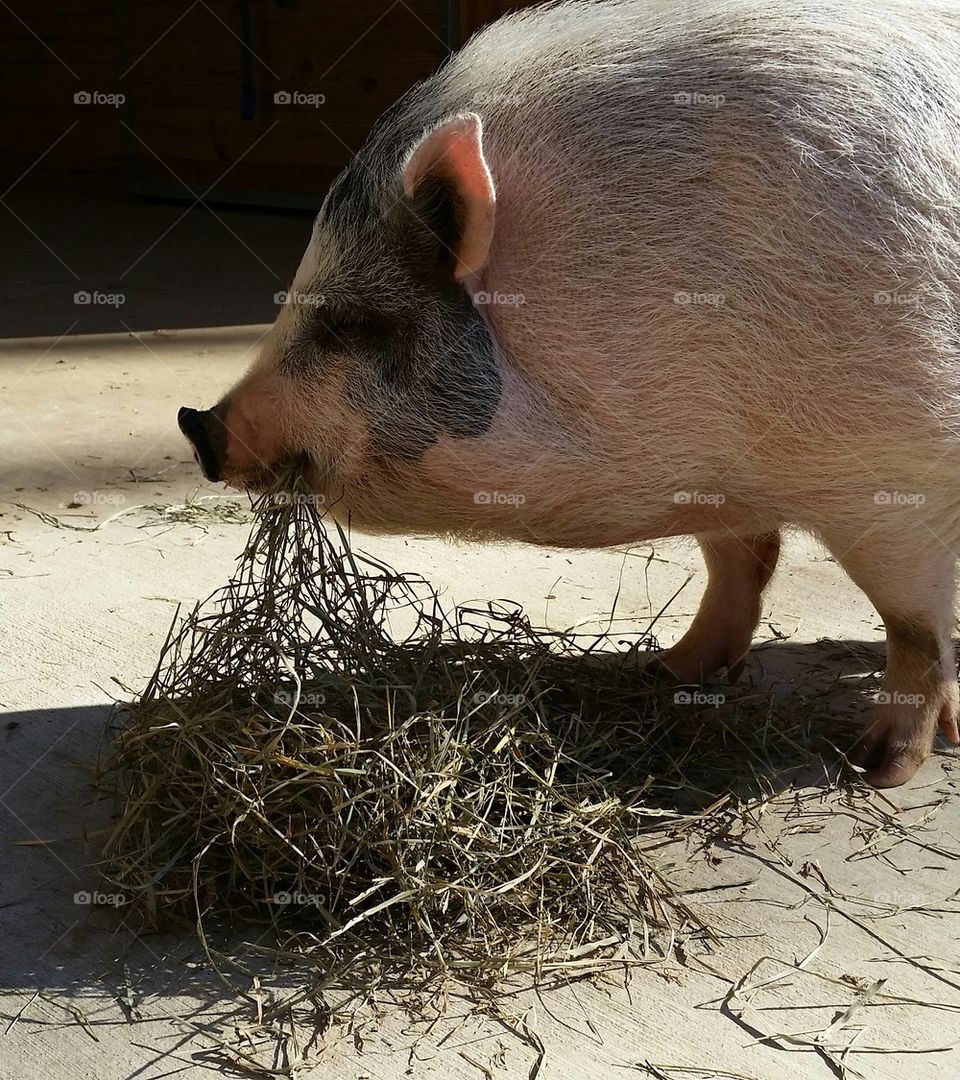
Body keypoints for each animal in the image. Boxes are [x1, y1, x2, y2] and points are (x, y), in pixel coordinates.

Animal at [176, 2, 958, 794]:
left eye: (352, 323)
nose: (197, 423)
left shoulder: (902, 479)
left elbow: (914, 627)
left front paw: (878, 769)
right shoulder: (721, 479)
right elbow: (739, 562)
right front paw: (669, 670)